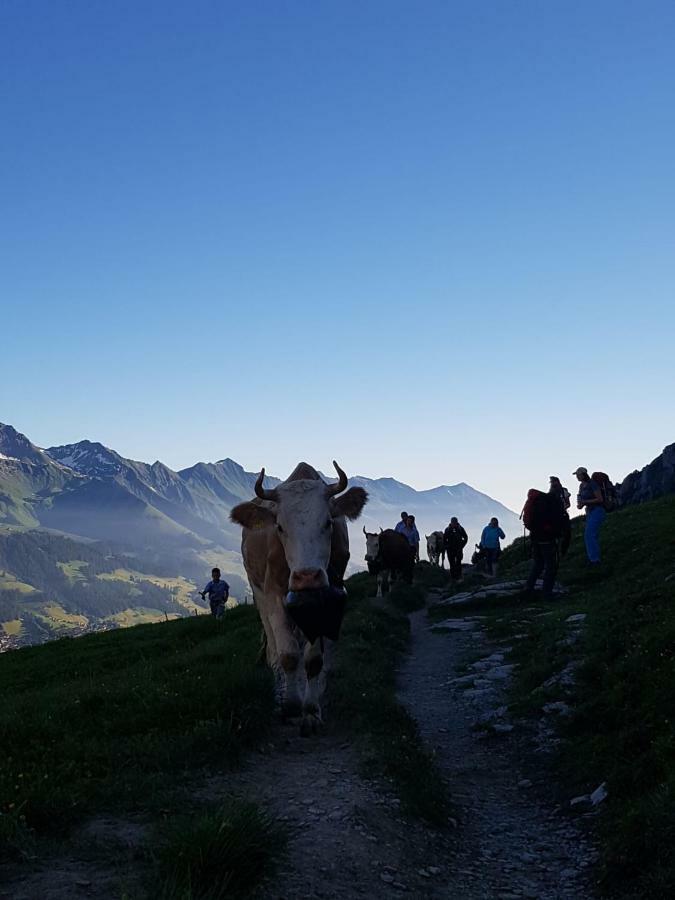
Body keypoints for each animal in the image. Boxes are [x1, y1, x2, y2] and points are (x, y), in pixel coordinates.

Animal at [232, 460, 370, 736]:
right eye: (280, 527)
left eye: (328, 522)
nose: (307, 576)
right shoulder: (274, 595)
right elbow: (289, 655)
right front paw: (292, 705)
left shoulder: (324, 602)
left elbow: (313, 659)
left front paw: (311, 711)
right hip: (257, 589)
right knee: (273, 641)